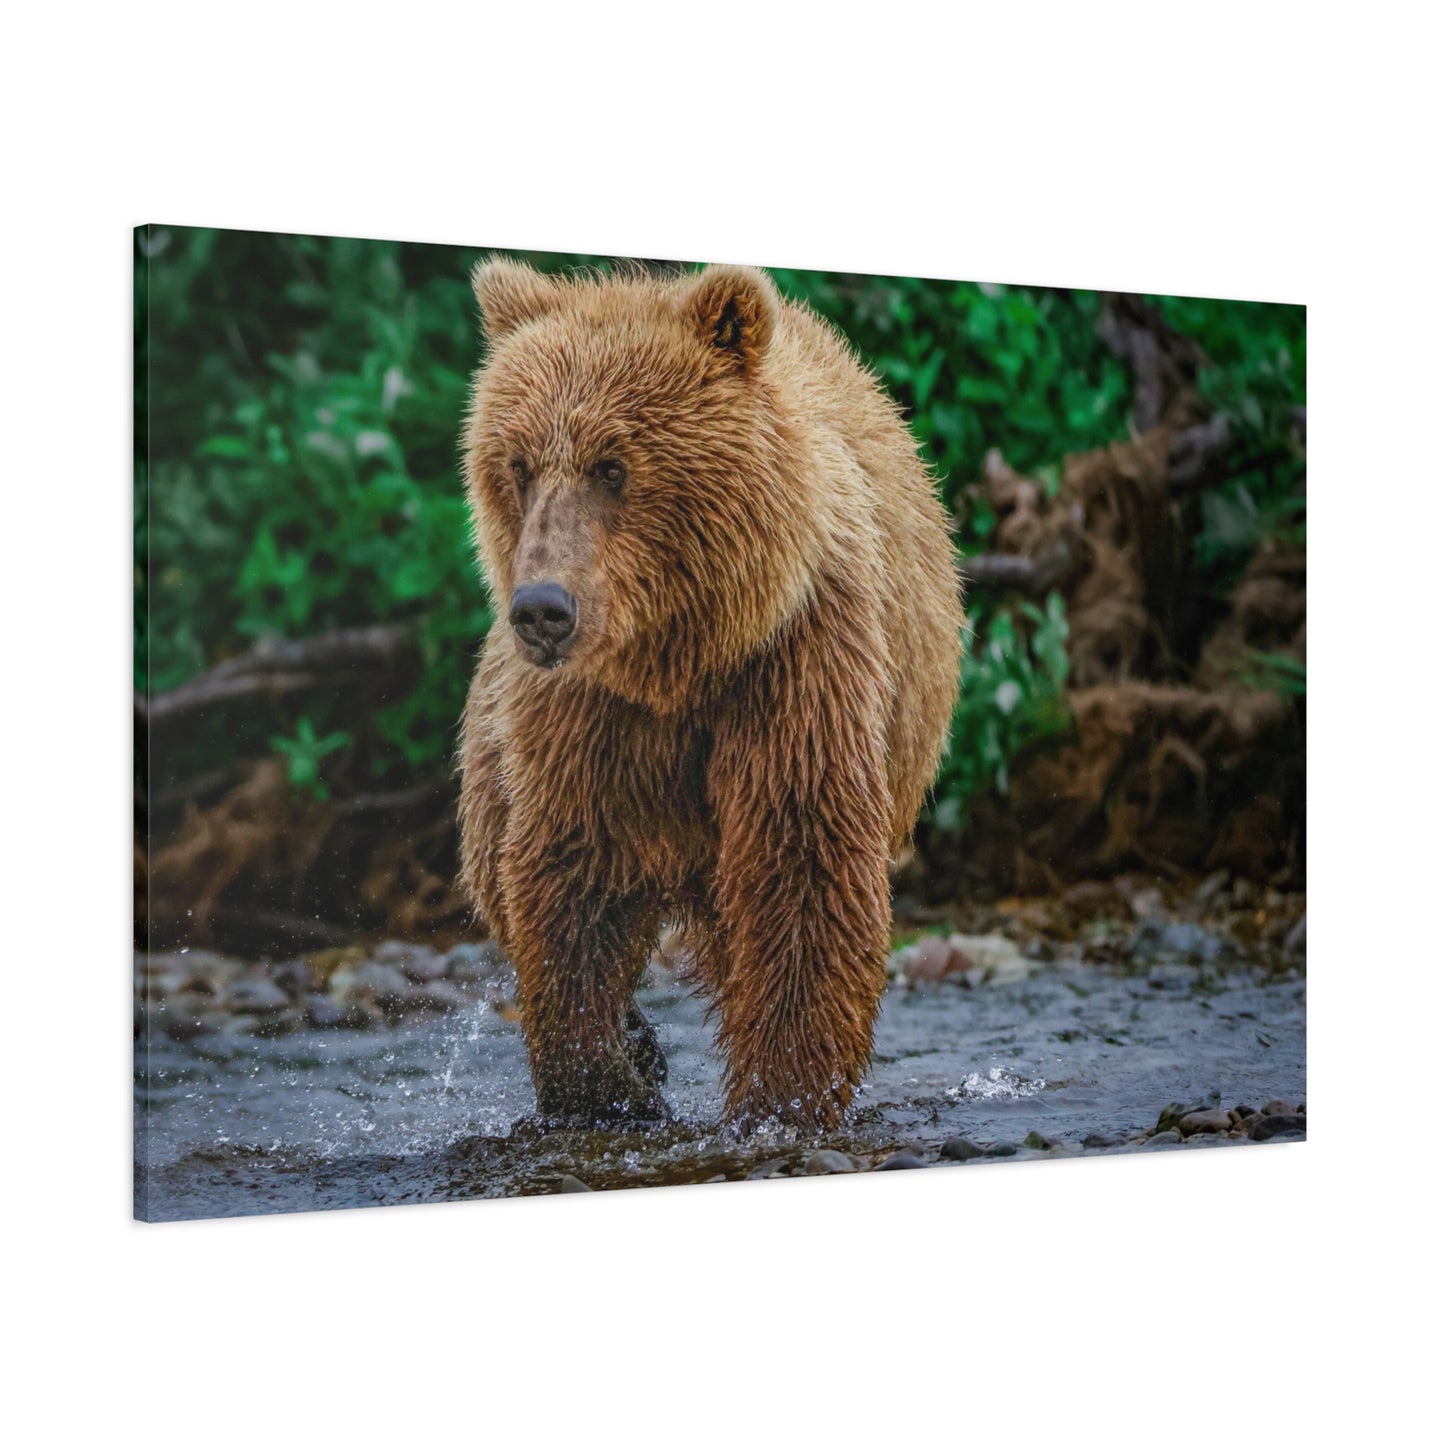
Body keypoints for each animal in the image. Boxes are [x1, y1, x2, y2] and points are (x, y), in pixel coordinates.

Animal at [457, 258, 964, 1132]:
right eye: (517, 465)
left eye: (612, 464)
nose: (543, 610)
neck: (681, 657)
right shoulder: (590, 714)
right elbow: (572, 871)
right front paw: (605, 1082)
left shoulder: (795, 662)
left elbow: (802, 864)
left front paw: (780, 1094)